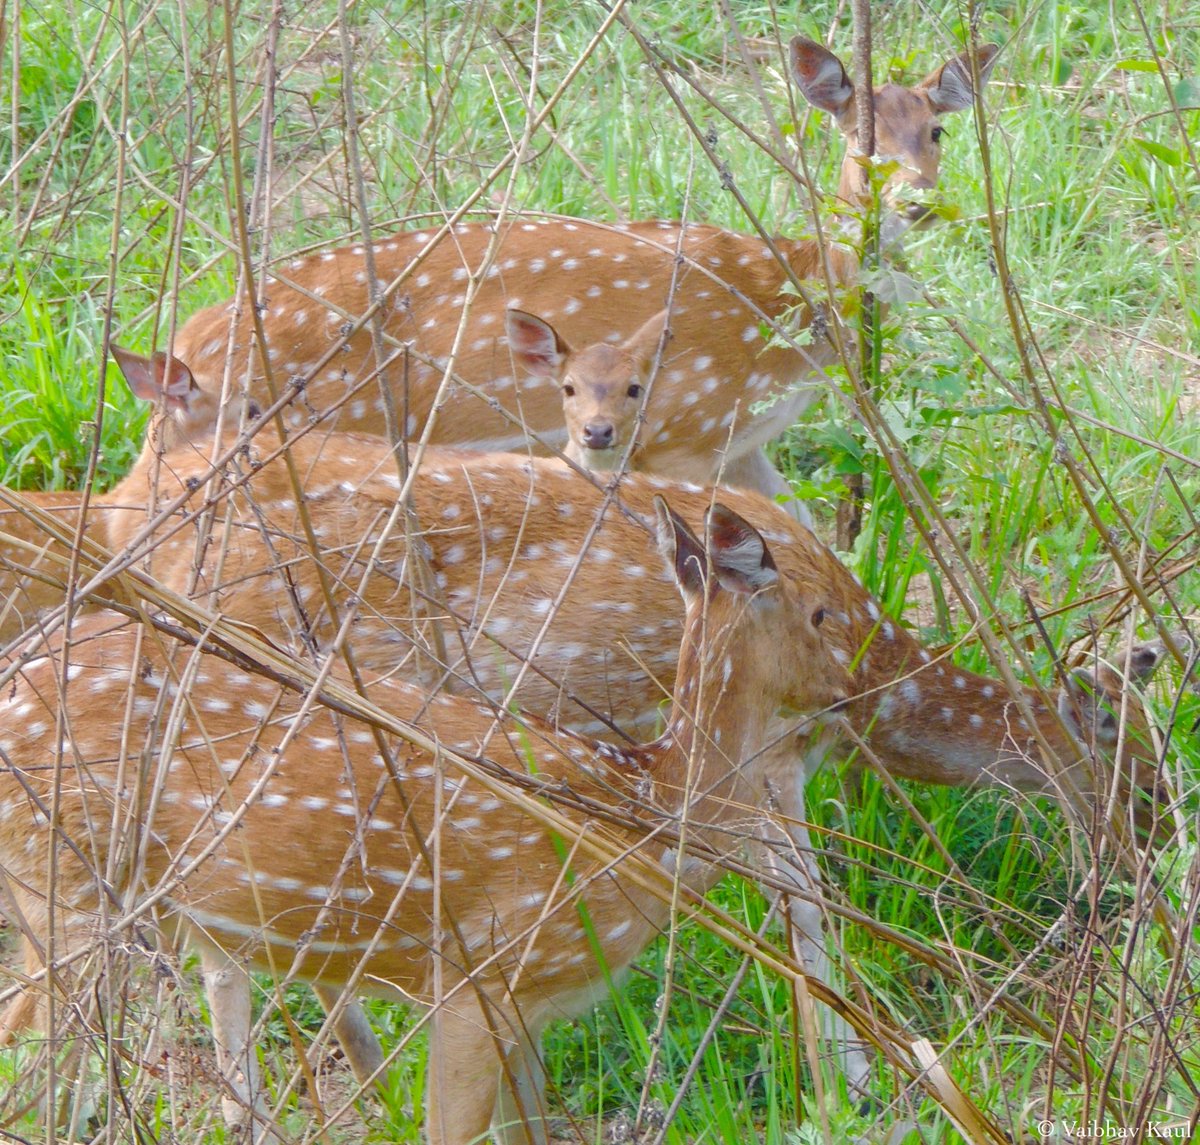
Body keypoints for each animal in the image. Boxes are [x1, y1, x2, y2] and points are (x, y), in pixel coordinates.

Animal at [0, 499, 854, 1142]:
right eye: (820, 613)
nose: (855, 692)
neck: (640, 809)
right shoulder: (480, 977)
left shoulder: (531, 1010)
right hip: (70, 886)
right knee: (37, 1063)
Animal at [159, 35, 998, 504]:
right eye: (861, 140)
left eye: (938, 131)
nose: (918, 201)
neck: (785, 295)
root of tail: (185, 355)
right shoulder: (683, 429)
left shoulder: (740, 440)